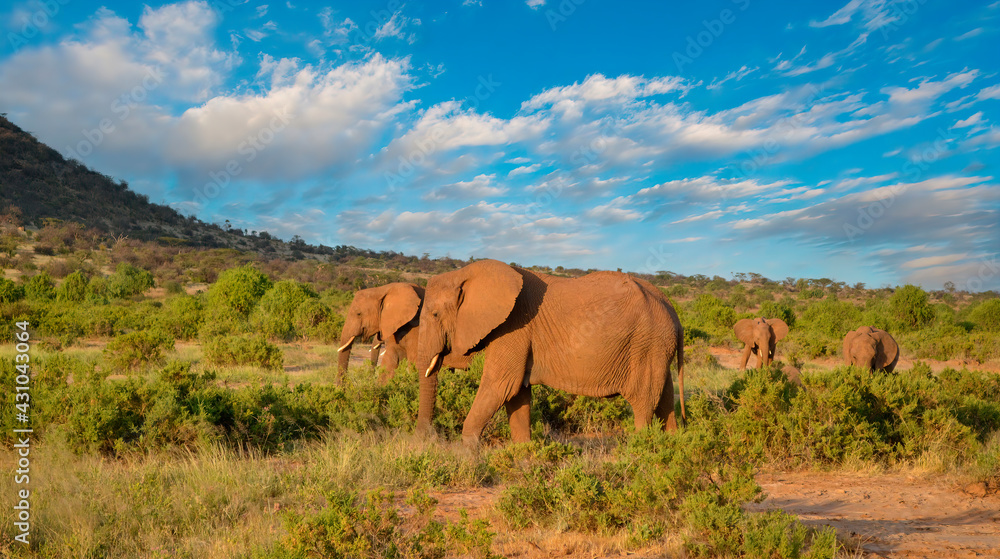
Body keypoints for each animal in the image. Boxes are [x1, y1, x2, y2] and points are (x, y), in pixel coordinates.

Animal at [414, 259, 685, 446]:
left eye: (435, 315)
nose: (425, 439)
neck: (465, 273)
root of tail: (671, 308)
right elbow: (517, 395)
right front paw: (523, 456)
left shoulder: (514, 327)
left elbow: (500, 386)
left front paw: (468, 456)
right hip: (657, 348)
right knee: (665, 400)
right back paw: (672, 446)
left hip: (646, 344)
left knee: (643, 404)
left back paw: (639, 450)